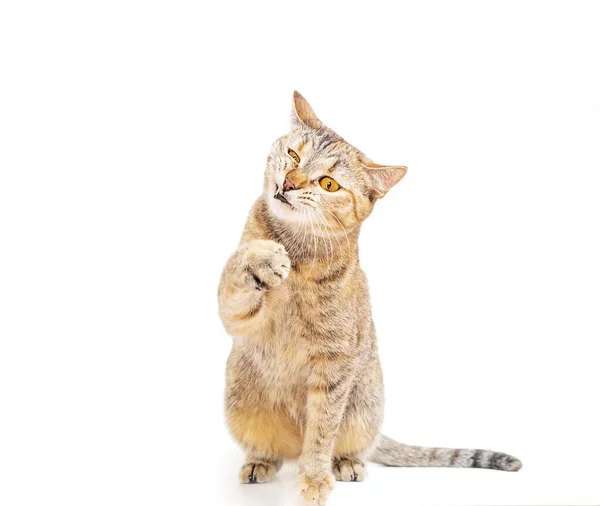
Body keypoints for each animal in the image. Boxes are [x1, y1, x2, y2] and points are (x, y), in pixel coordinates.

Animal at [217, 92, 520, 506]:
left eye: (328, 184)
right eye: (294, 155)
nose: (289, 183)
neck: (299, 252)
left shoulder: (335, 363)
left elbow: (321, 431)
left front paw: (315, 478)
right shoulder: (236, 316)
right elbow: (237, 268)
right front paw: (263, 257)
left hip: (363, 405)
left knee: (343, 444)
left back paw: (345, 463)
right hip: (240, 400)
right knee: (272, 450)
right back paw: (260, 462)